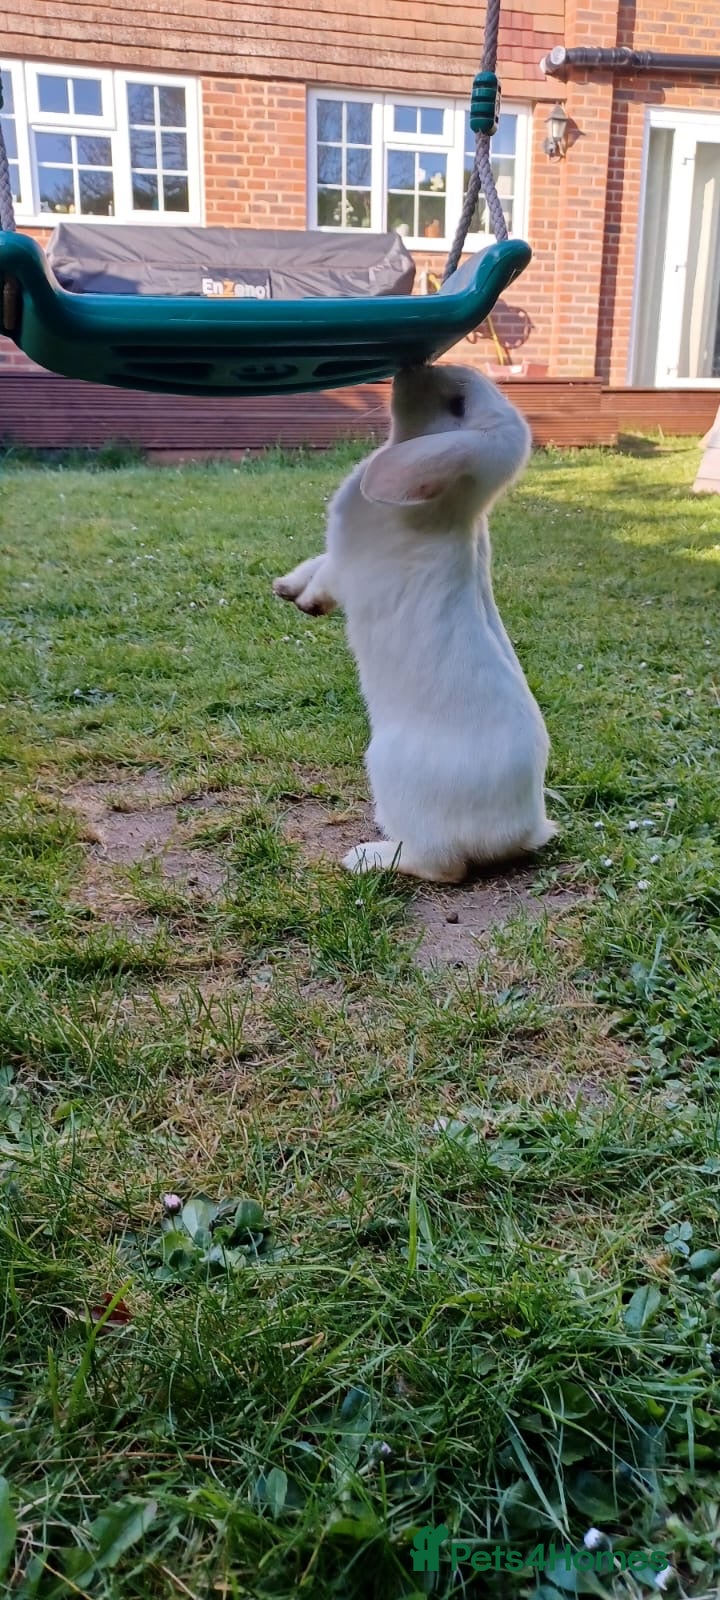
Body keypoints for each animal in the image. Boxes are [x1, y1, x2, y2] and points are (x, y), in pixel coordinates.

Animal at [273, 363, 556, 882]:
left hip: (390, 774)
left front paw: (307, 604)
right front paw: (284, 587)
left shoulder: (344, 565)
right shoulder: (331, 557)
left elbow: (324, 577)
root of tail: (518, 832)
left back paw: (366, 857)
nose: (413, 368)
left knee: (442, 866)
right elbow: (312, 565)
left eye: (457, 405)